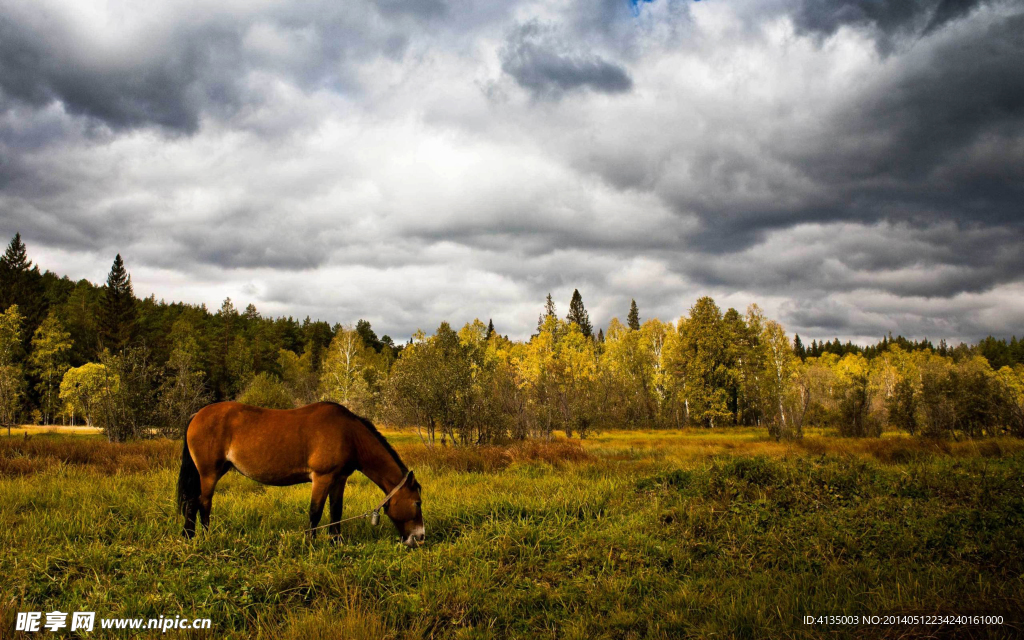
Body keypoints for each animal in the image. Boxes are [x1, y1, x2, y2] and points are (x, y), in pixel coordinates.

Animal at [176, 399, 423, 544]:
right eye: (417, 503)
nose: (420, 537)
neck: (349, 434)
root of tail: (196, 415)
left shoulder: (339, 479)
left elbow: (336, 511)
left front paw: (336, 542)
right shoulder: (322, 478)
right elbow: (315, 512)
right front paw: (310, 543)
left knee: (192, 501)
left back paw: (189, 536)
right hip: (209, 473)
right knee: (202, 503)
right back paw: (205, 536)